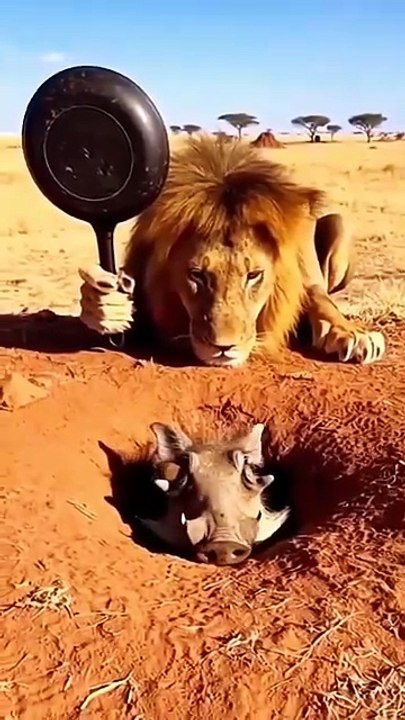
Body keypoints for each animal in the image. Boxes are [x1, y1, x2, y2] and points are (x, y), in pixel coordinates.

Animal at [78, 133, 385, 366]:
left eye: (253, 275)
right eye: (196, 275)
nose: (224, 348)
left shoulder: (306, 280)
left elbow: (322, 301)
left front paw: (353, 334)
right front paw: (103, 307)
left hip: (338, 224)